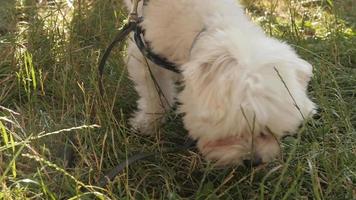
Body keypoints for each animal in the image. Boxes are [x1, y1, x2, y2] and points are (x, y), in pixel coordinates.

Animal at [124, 0, 316, 166]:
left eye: (268, 132)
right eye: (232, 133)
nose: (253, 161)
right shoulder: (144, 51)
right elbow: (154, 93)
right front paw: (148, 122)